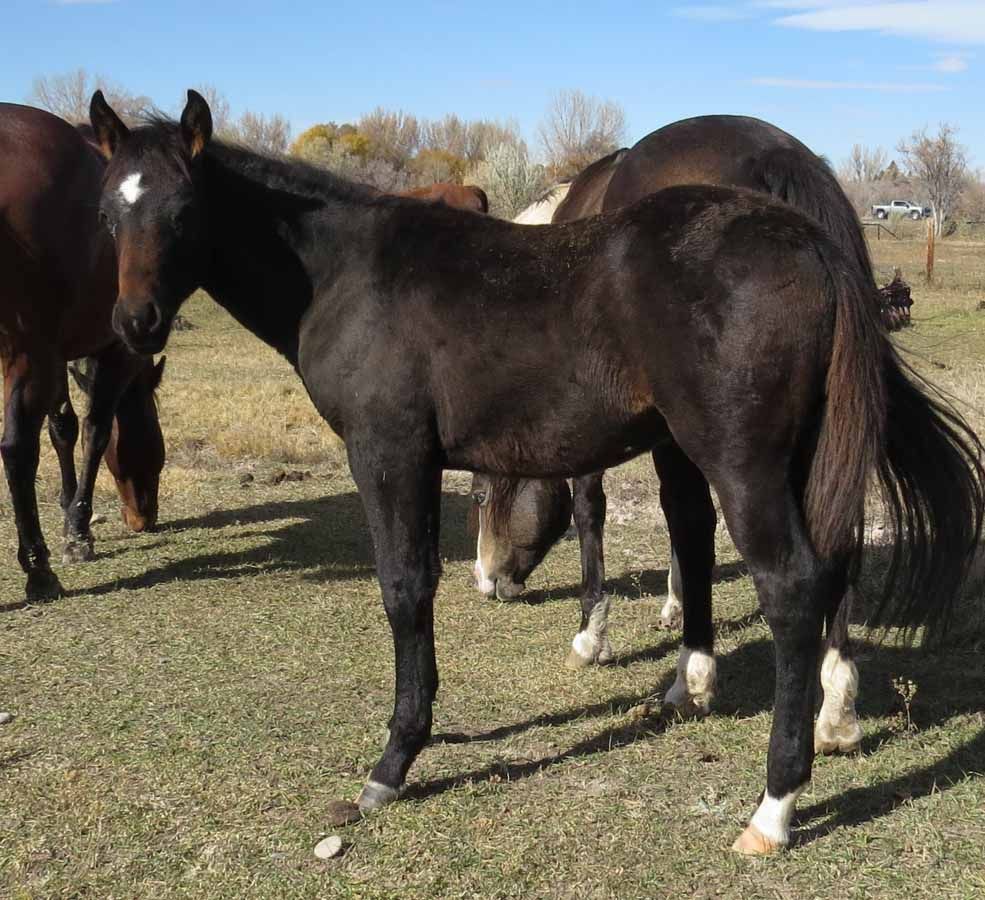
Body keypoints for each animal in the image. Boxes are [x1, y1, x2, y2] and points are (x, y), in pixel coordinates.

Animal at [0, 102, 166, 601]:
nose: (143, 517)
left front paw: (69, 506)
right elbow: (95, 429)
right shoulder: (114, 353)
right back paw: (38, 569)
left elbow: (63, 428)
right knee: (17, 448)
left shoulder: (57, 355)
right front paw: (78, 528)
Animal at [90, 89, 984, 854]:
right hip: (800, 454)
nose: (135, 322)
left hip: (743, 464)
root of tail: (808, 240)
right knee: (828, 559)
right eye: (107, 212)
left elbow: (404, 590)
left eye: (183, 210)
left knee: (791, 588)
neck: (346, 272)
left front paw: (394, 763)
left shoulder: (387, 452)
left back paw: (772, 808)